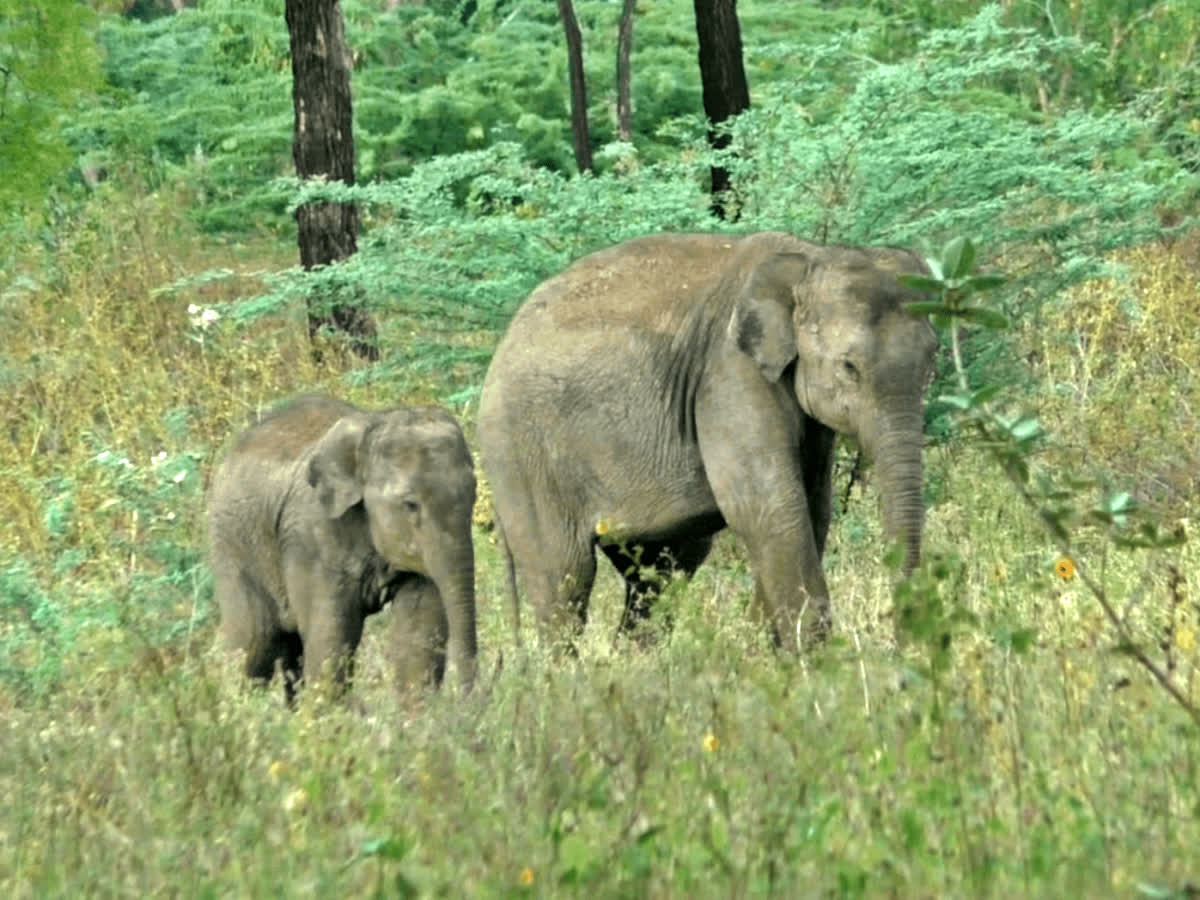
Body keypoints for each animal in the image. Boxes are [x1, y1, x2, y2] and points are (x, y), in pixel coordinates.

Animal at [207, 393, 478, 703]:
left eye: (474, 493)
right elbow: (330, 641)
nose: (469, 699)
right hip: (232, 543)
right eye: (411, 505)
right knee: (254, 640)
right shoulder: (312, 535)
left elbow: (419, 633)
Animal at [477, 231, 937, 652]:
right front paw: (816, 664)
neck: (807, 256)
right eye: (849, 367)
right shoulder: (729, 375)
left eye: (932, 361)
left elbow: (811, 506)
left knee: (661, 574)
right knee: (564, 579)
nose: (902, 647)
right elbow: (768, 506)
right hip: (520, 455)